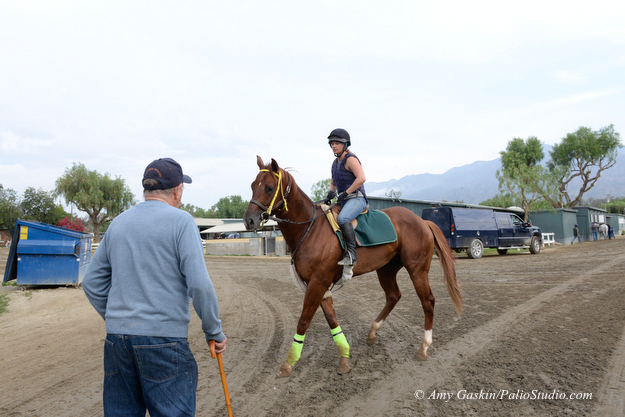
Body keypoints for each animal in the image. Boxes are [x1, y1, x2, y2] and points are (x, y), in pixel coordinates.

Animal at [241, 157, 460, 376]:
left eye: (269, 188)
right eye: (252, 185)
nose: (249, 220)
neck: (310, 228)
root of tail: (422, 221)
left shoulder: (318, 283)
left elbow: (304, 320)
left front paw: (288, 362)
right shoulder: (320, 285)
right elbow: (332, 319)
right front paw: (344, 357)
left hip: (417, 269)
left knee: (428, 301)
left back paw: (424, 347)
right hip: (386, 269)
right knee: (393, 296)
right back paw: (373, 332)